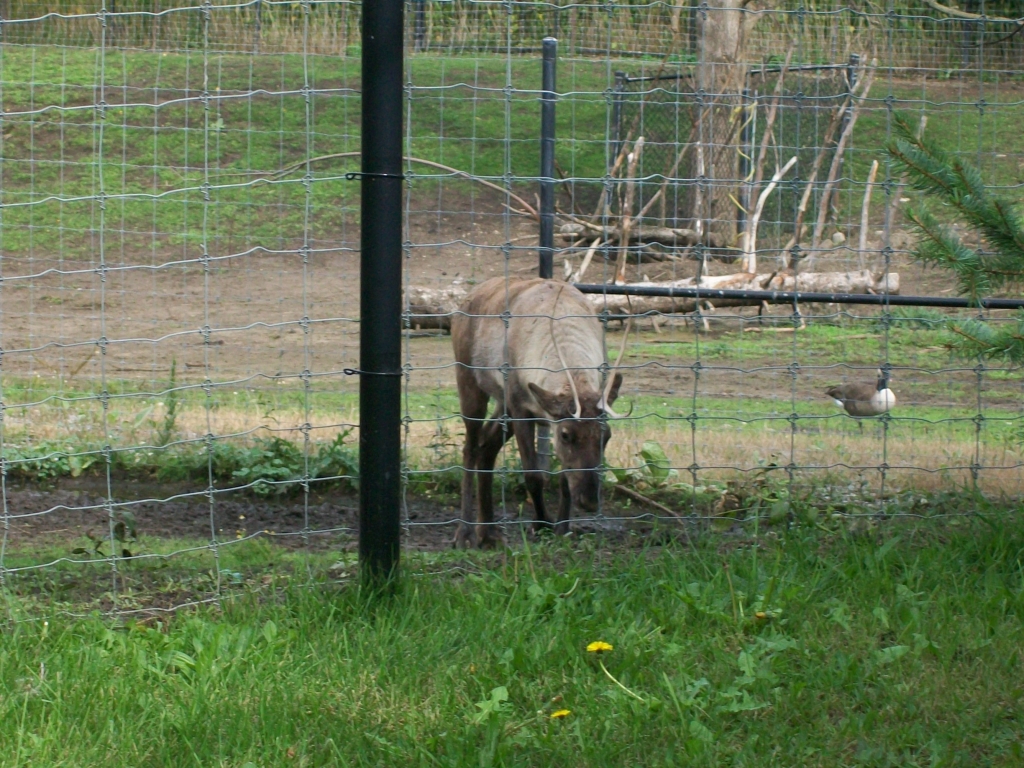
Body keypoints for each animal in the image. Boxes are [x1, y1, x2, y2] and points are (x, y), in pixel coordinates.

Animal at [451, 277, 627, 549]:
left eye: (606, 436)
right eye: (566, 435)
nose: (589, 501)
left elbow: (564, 479)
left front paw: (563, 527)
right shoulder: (520, 407)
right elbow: (533, 475)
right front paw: (542, 523)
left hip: (503, 405)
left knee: (486, 445)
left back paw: (488, 531)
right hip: (470, 383)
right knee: (470, 447)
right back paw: (465, 533)